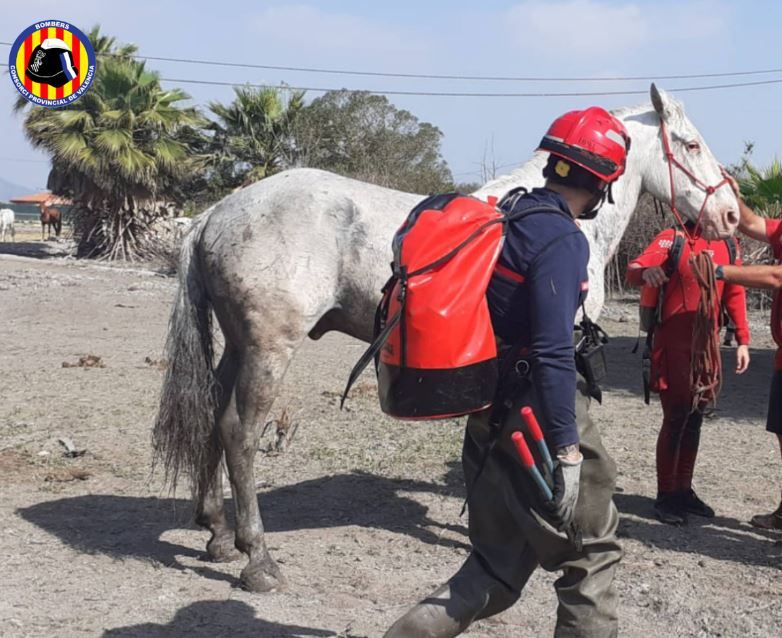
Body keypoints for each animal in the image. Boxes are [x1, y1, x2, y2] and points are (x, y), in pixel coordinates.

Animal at [155, 86, 740, 596]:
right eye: (690, 145)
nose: (731, 213)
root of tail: (216, 213)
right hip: (267, 350)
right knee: (238, 432)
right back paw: (258, 559)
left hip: (237, 347)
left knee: (212, 417)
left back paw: (217, 534)